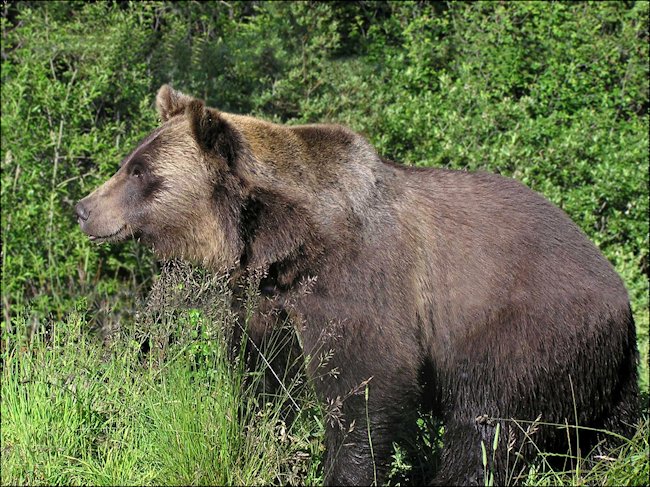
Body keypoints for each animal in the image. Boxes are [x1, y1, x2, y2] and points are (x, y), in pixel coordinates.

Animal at [77, 86, 636, 486]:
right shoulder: (273, 296)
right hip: (602, 369)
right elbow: (264, 375)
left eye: (139, 172)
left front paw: (343, 469)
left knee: (488, 423)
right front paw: (260, 441)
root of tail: (617, 287)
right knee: (608, 427)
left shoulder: (358, 280)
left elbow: (365, 383)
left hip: (525, 327)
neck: (286, 234)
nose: (82, 207)